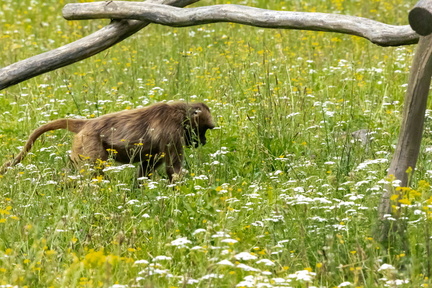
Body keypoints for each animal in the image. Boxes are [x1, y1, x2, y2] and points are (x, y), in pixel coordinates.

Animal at [0, 102, 214, 181]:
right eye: (205, 129)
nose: (203, 141)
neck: (181, 114)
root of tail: (87, 123)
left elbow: (147, 167)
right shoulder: (172, 134)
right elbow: (173, 170)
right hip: (89, 144)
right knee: (93, 170)